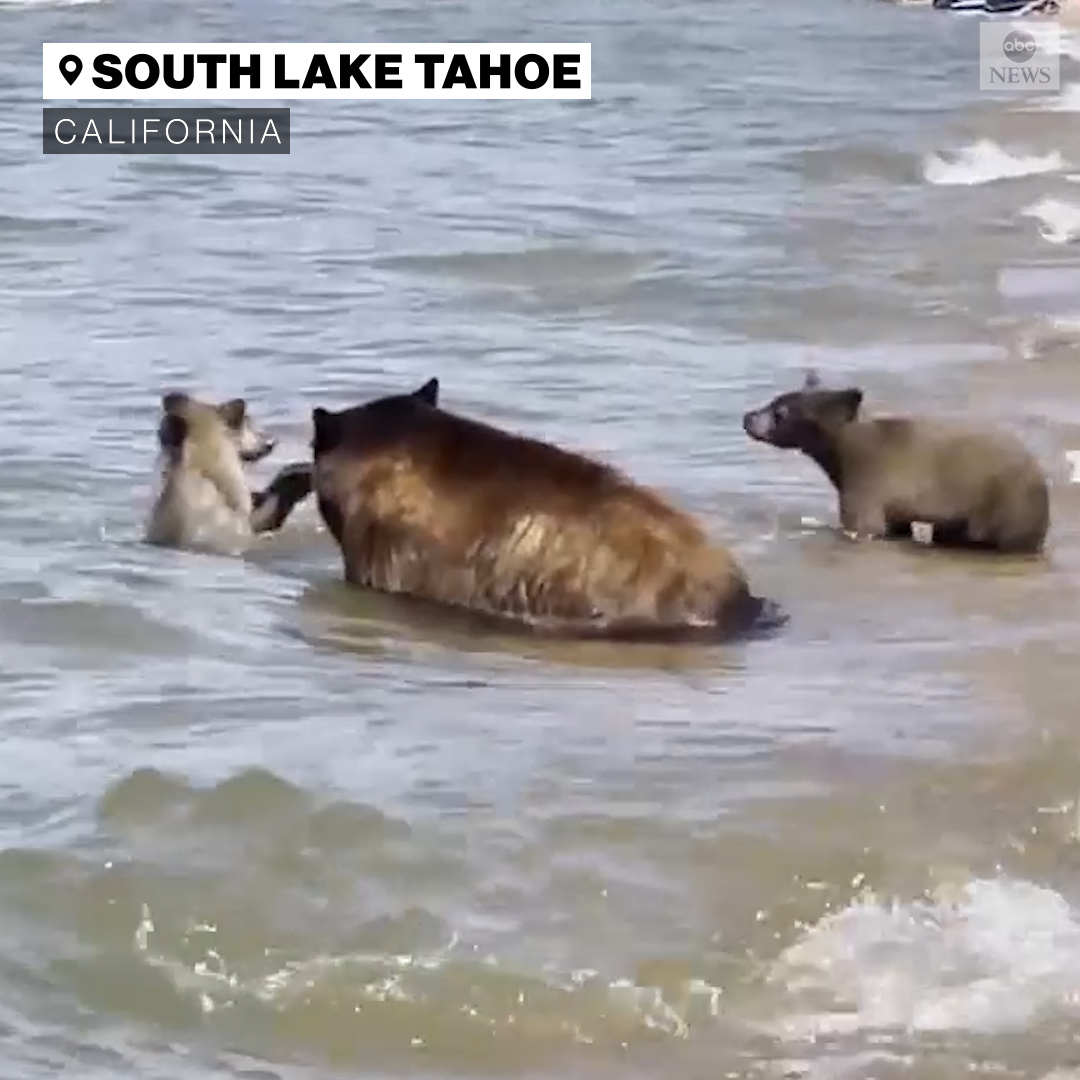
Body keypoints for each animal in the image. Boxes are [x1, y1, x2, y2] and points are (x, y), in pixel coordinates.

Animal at [743, 373, 1045, 557]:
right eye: (773, 402)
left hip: (1009, 507)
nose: (747, 416)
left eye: (780, 413)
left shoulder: (866, 486)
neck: (845, 447)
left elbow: (864, 527)